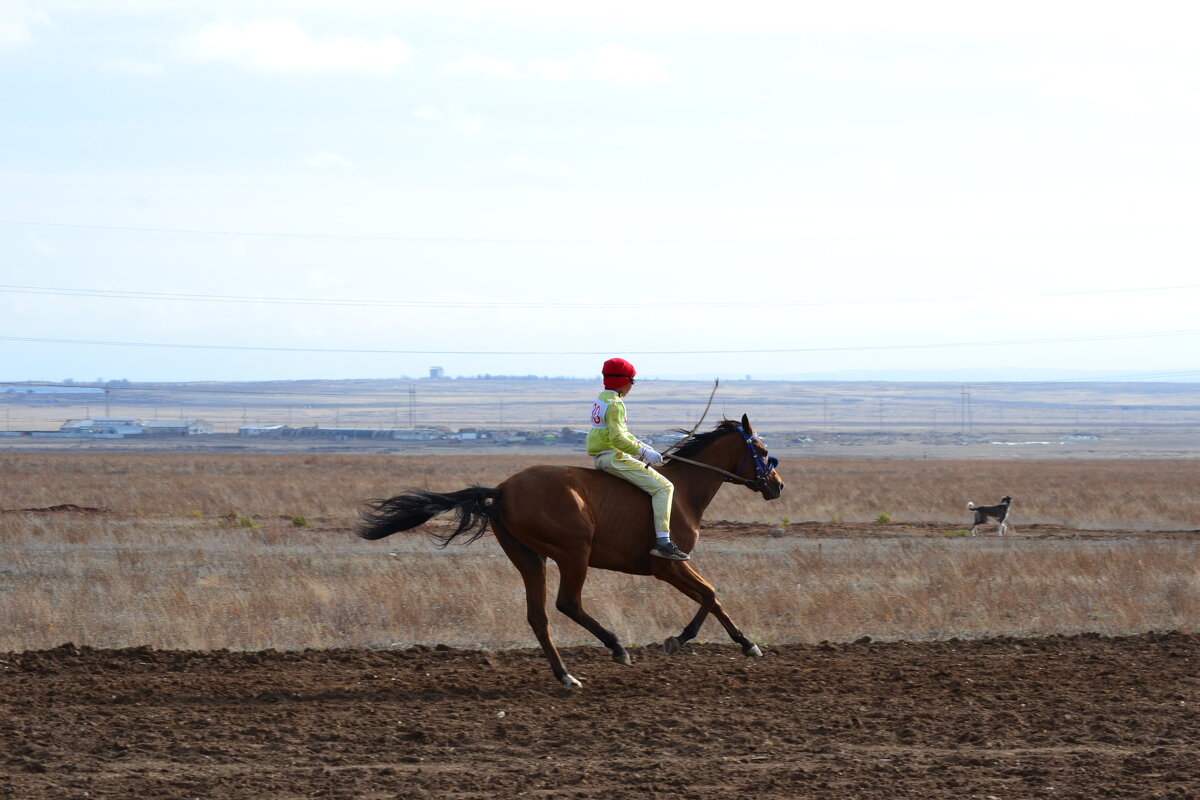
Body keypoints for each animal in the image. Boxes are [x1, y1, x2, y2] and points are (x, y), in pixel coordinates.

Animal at [352, 412, 787, 690]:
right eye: (763, 450)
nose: (777, 485)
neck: (681, 491)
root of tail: (502, 490)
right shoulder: (666, 565)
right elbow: (710, 594)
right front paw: (680, 640)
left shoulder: (673, 568)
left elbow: (713, 597)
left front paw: (745, 643)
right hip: (573, 552)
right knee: (568, 604)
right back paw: (615, 647)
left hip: (530, 559)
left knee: (538, 617)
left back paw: (566, 676)